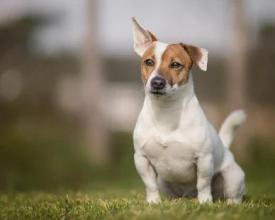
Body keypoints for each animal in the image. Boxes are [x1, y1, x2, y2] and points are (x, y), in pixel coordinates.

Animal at [132, 17, 248, 205]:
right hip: (164, 182)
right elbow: (149, 184)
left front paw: (205, 202)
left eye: (176, 64)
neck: (166, 112)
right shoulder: (141, 159)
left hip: (232, 178)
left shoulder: (204, 159)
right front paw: (153, 202)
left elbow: (203, 183)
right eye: (149, 62)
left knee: (234, 195)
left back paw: (230, 204)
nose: (157, 82)